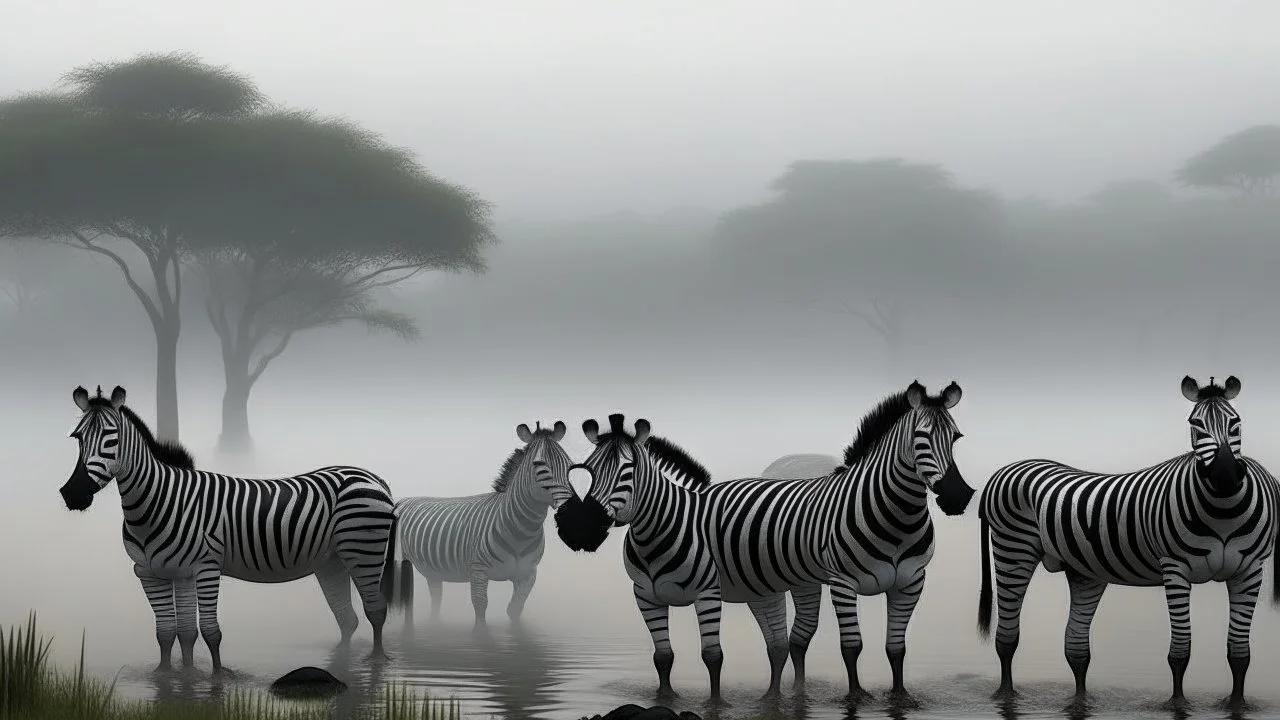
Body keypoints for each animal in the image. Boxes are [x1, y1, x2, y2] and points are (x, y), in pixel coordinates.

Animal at [57, 384, 396, 671]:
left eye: (112, 438)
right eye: (77, 438)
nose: (73, 494)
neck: (156, 502)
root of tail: (372, 476)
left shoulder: (205, 567)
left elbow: (210, 632)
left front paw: (218, 679)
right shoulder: (155, 572)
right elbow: (173, 633)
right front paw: (172, 678)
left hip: (364, 551)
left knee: (376, 611)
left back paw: (377, 664)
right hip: (331, 561)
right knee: (347, 619)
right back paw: (344, 663)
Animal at [384, 417, 576, 625]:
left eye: (570, 464)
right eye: (539, 465)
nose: (571, 512)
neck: (523, 530)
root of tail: (402, 501)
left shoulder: (528, 574)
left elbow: (515, 609)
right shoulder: (478, 571)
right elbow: (480, 608)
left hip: (432, 571)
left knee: (435, 596)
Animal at [558, 381, 967, 702]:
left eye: (956, 438)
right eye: (587, 470)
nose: (957, 495)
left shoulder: (910, 582)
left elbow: (894, 647)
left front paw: (897, 697)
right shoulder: (645, 595)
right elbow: (666, 657)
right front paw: (669, 699)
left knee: (789, 641)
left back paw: (784, 695)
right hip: (769, 588)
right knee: (783, 643)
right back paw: (777, 696)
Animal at [972, 376, 1274, 707]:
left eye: (1236, 422)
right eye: (1195, 424)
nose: (1226, 476)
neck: (1222, 512)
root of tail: (1003, 470)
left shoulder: (1250, 571)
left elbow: (1239, 653)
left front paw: (1237, 704)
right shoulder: (1175, 569)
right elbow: (1181, 652)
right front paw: (1178, 704)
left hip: (1084, 572)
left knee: (1076, 647)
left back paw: (1081, 699)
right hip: (1013, 549)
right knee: (1007, 638)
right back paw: (1006, 695)